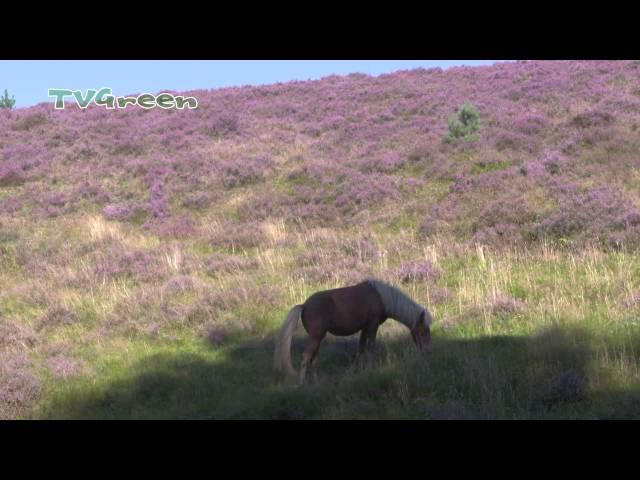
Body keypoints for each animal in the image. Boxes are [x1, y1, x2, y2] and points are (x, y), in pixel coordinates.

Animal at [272, 280, 432, 384]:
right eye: (424, 331)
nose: (426, 350)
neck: (380, 297)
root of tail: (304, 306)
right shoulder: (372, 326)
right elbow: (370, 348)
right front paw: (369, 369)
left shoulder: (364, 328)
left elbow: (361, 349)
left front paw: (358, 370)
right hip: (316, 337)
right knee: (306, 357)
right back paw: (301, 384)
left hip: (317, 338)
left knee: (313, 358)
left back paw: (316, 381)